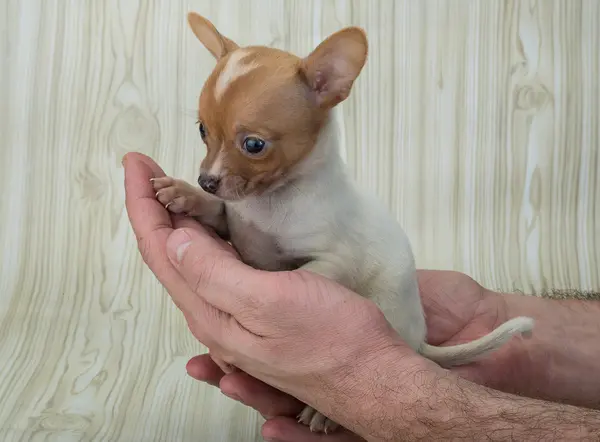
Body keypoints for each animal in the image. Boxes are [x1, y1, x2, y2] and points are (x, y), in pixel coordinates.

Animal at [154, 12, 536, 436]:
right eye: (202, 130)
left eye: (254, 145)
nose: (206, 180)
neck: (269, 203)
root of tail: (418, 339)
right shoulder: (234, 218)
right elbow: (219, 211)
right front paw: (185, 194)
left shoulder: (334, 260)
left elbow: (303, 272)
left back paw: (323, 413)